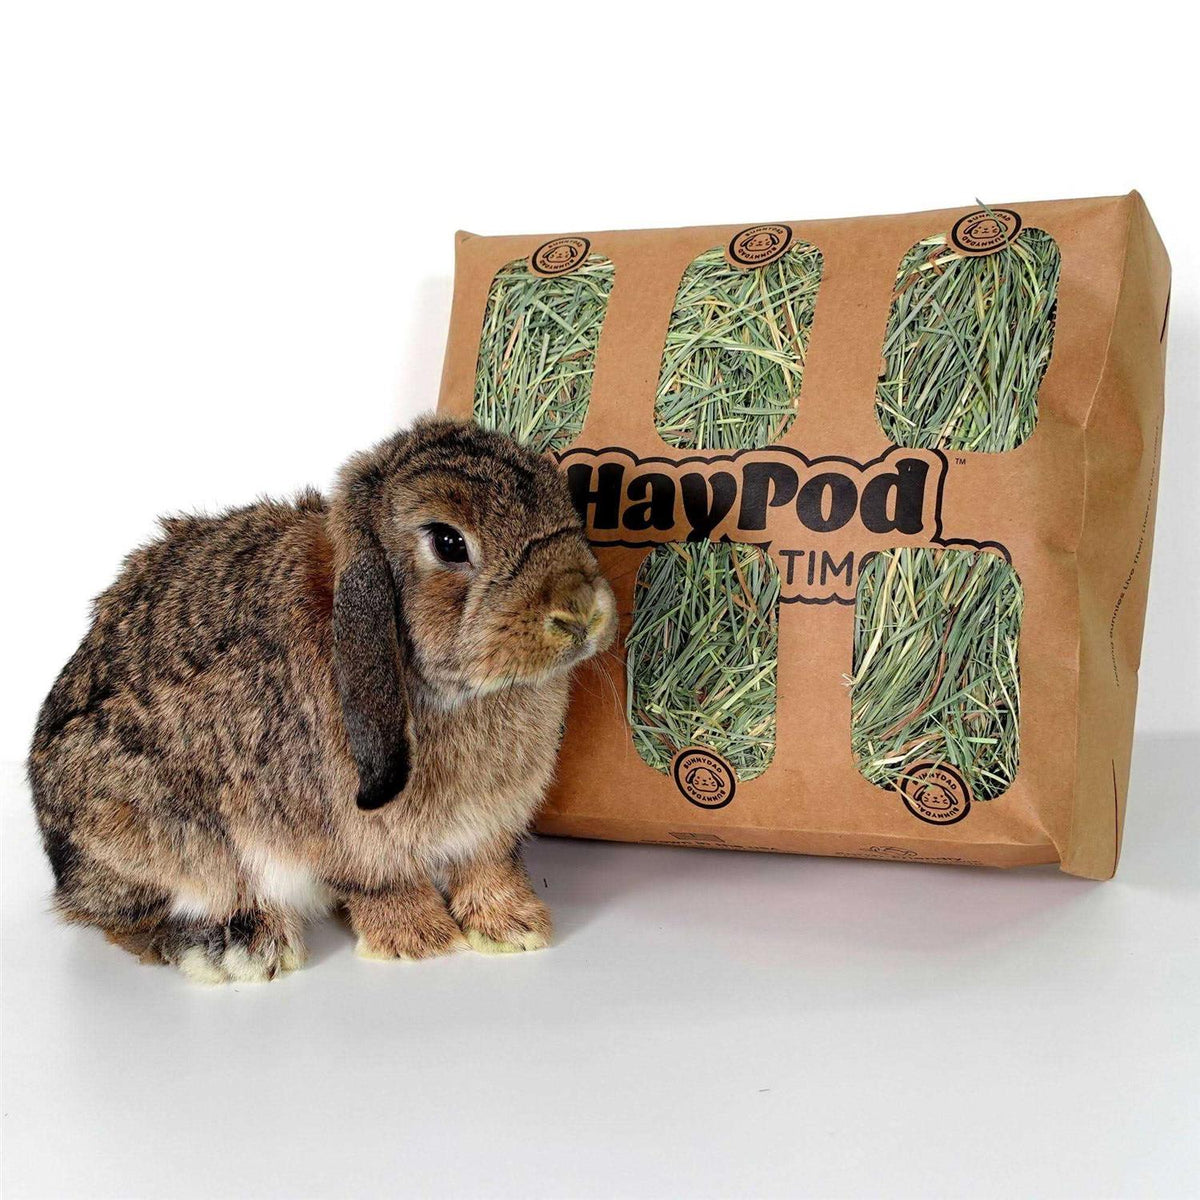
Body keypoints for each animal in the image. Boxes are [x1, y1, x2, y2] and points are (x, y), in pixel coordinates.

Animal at [28, 416, 615, 983]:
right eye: (448, 542)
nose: (581, 613)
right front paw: (418, 943)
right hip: (148, 829)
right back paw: (242, 948)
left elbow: (489, 871)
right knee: (141, 915)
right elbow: (385, 886)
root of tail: (64, 868)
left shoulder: (490, 832)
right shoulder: (358, 840)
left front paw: (514, 929)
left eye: (564, 506)